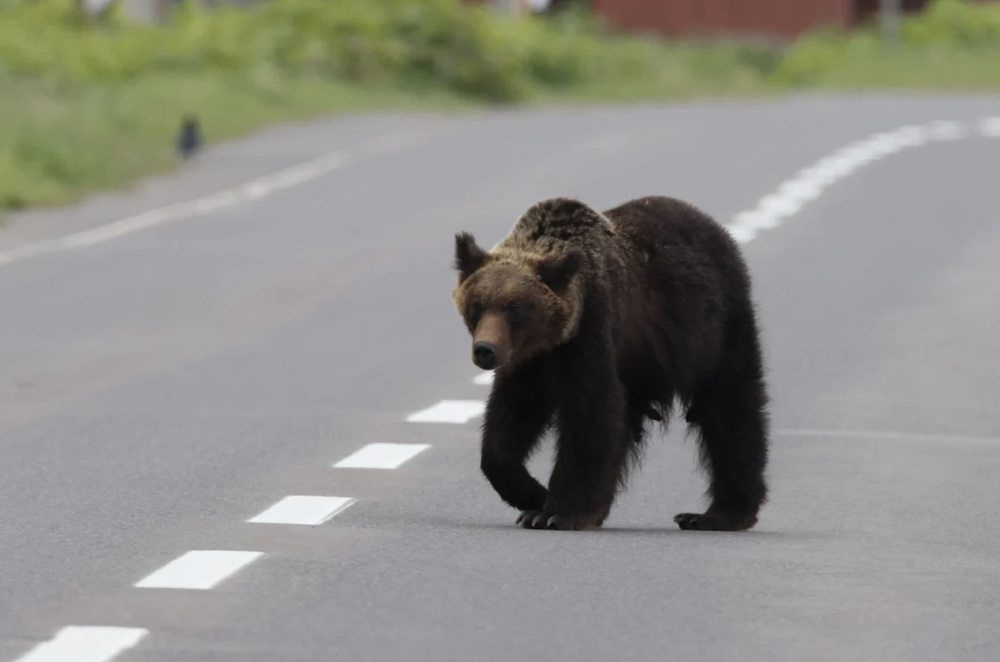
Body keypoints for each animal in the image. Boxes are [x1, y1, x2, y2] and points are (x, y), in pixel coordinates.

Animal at [454, 196, 772, 536]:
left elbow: (591, 414)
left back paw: (718, 514)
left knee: (730, 410)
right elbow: (510, 421)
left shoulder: (593, 331)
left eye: (515, 307)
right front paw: (533, 496)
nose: (485, 350)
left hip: (714, 329)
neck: (553, 342)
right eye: (477, 304)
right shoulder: (529, 363)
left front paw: (556, 512)